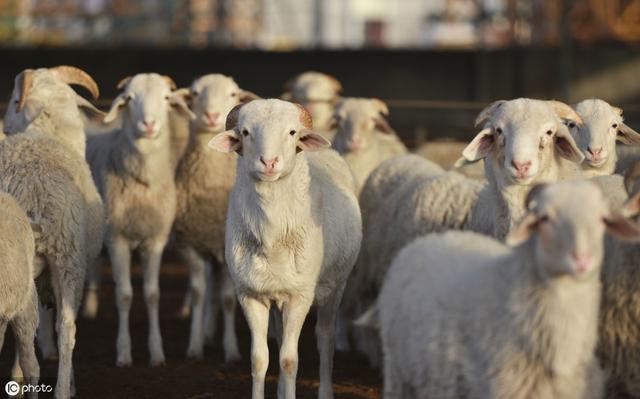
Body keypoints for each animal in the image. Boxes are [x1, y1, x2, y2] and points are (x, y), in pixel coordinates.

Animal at [1, 67, 104, 398]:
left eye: (15, 100)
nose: (5, 125)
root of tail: (29, 188)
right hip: (68, 259)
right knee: (66, 329)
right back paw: (60, 389)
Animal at [87, 73, 195, 368]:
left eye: (166, 98)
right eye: (129, 98)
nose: (149, 124)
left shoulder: (155, 240)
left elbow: (152, 294)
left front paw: (157, 353)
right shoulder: (116, 240)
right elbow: (124, 295)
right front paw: (124, 353)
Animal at [172, 72, 258, 362]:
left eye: (232, 94)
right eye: (195, 94)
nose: (211, 115)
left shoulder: (228, 251)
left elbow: (229, 300)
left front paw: (231, 350)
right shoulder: (190, 246)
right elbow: (199, 295)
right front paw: (195, 345)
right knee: (209, 290)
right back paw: (208, 331)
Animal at [209, 97, 362, 399]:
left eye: (292, 132)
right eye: (245, 132)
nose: (269, 162)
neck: (271, 231)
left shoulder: (299, 296)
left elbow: (289, 361)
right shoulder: (251, 294)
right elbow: (259, 359)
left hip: (335, 286)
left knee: (325, 338)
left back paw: (326, 390)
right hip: (276, 296)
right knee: (280, 339)